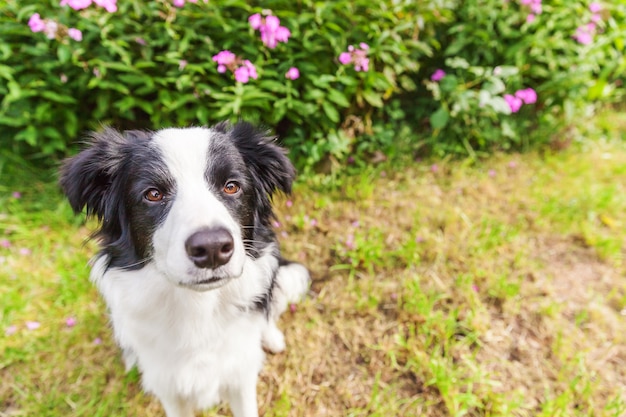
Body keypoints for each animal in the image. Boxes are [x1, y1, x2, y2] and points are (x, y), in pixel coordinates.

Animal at [59, 121, 308, 416]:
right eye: (153, 194)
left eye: (231, 186)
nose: (212, 248)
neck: (198, 307)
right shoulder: (169, 386)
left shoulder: (240, 375)